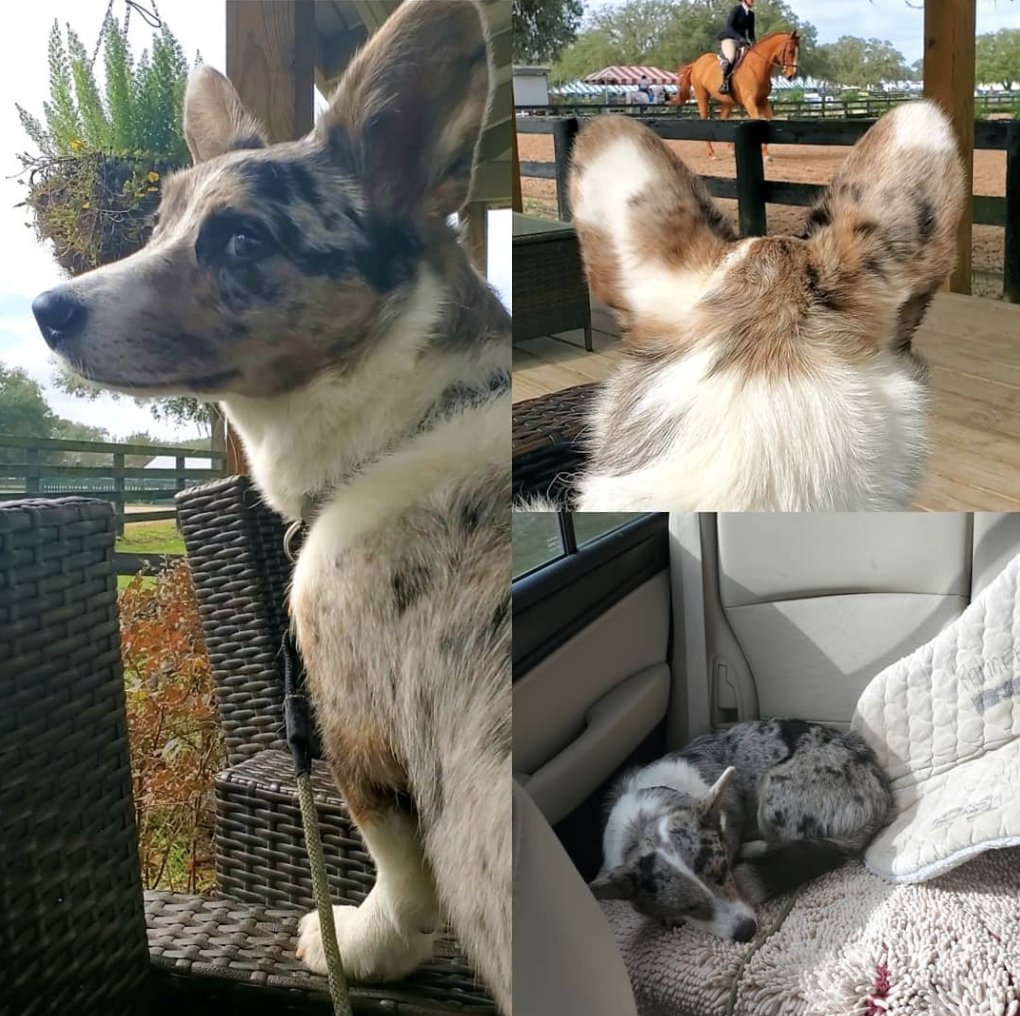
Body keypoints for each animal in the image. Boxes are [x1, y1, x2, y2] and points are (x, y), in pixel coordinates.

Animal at [671, 30, 800, 160]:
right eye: (790, 51)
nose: (791, 76)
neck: (757, 67)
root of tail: (697, 63)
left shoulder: (763, 101)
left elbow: (771, 121)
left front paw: (766, 154)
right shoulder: (750, 102)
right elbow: (758, 120)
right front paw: (763, 153)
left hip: (727, 102)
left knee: (722, 119)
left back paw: (731, 149)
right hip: (702, 96)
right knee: (704, 119)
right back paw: (712, 153)